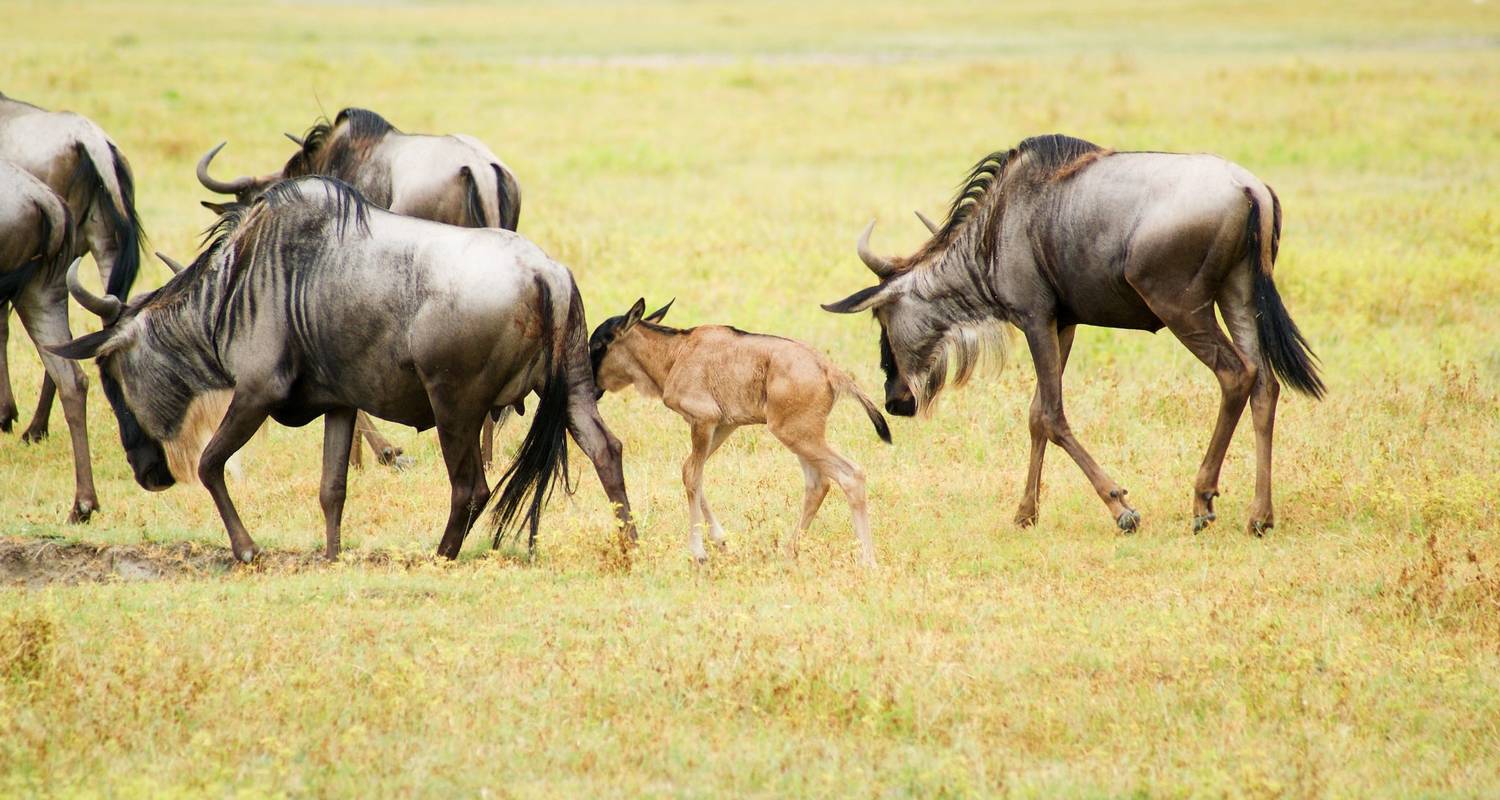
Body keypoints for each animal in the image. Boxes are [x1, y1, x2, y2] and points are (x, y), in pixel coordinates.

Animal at [588, 300, 888, 567]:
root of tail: (829, 370)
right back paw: (789, 552)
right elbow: (690, 472)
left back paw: (867, 561)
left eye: (599, 345)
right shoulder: (723, 425)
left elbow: (693, 476)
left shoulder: (703, 421)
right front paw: (720, 541)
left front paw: (698, 553)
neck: (676, 352)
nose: (592, 390)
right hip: (801, 437)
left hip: (797, 435)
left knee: (850, 475)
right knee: (818, 484)